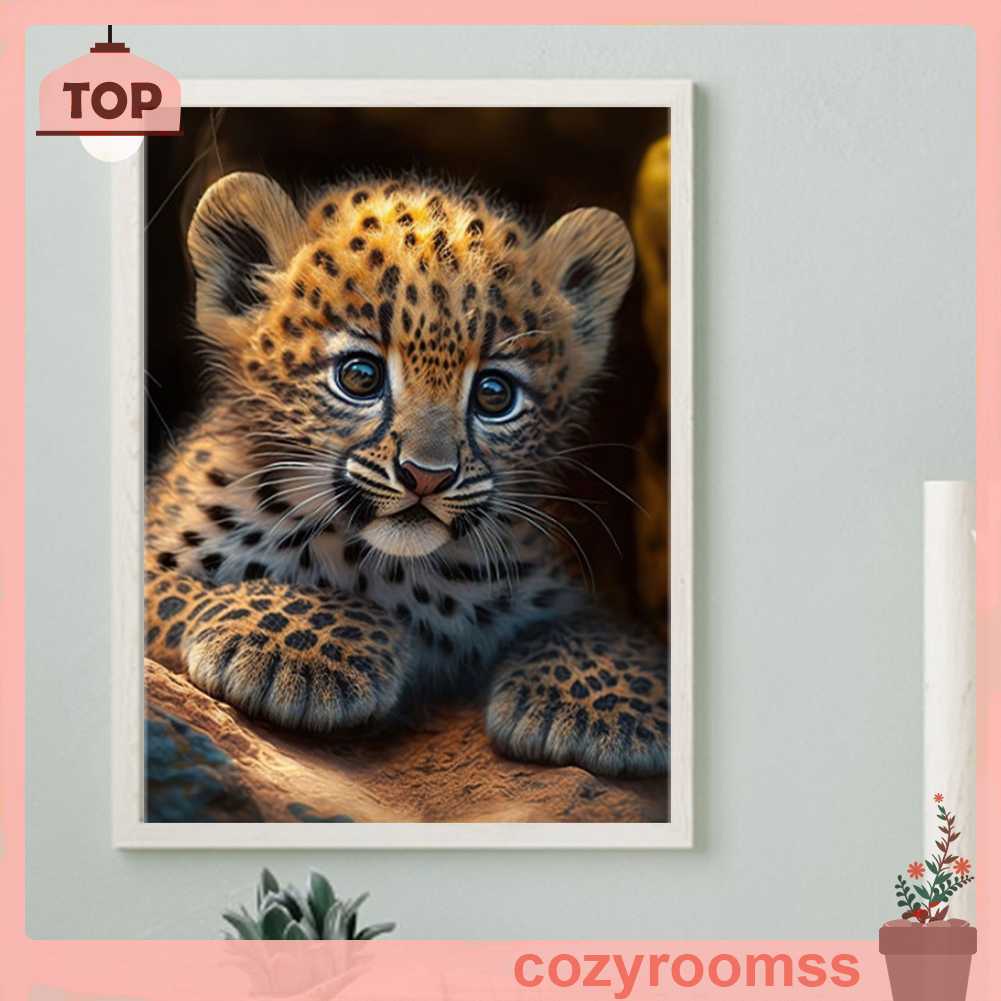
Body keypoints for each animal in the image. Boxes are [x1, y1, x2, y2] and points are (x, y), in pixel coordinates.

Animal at [144, 171, 669, 778]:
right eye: (359, 376)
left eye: (495, 394)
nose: (426, 476)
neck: (390, 572)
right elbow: (181, 589)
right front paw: (303, 645)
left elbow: (599, 629)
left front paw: (600, 704)